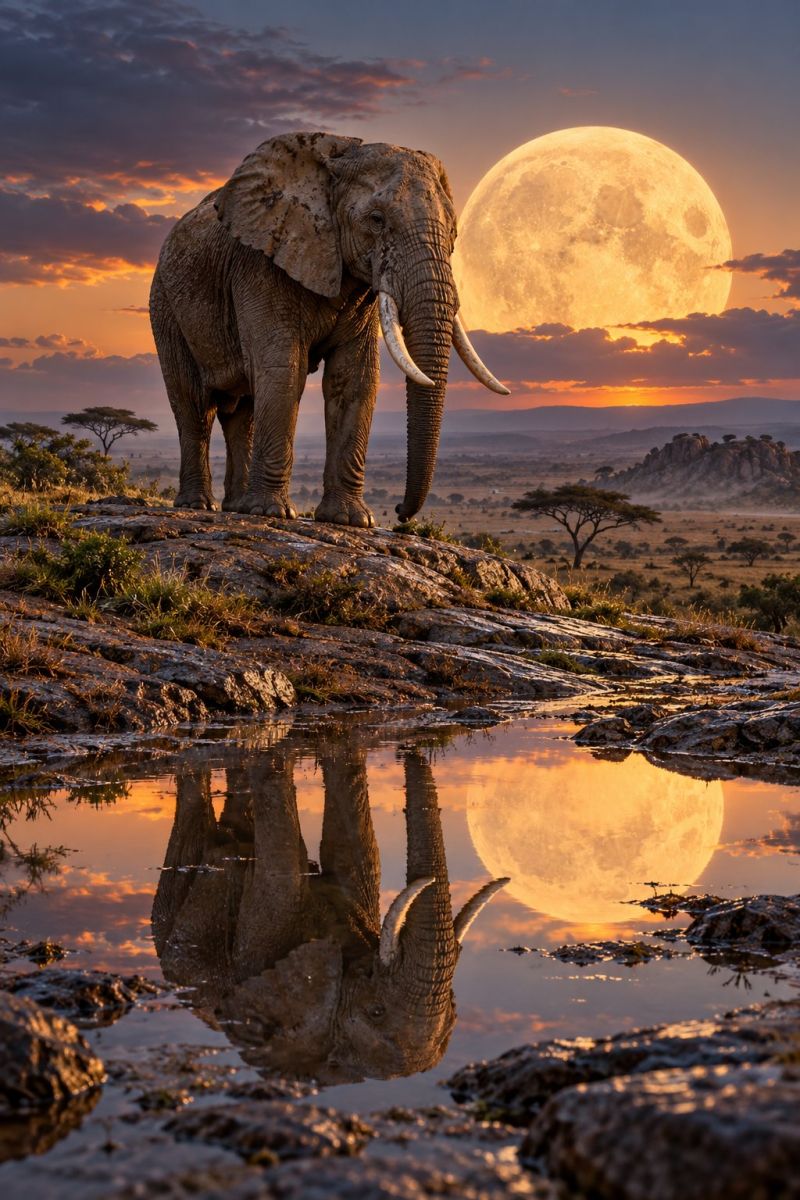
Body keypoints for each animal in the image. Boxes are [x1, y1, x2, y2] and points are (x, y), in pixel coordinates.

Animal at [149, 131, 508, 524]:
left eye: (454, 230)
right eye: (377, 219)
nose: (400, 513)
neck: (335, 163)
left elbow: (354, 379)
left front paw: (349, 520)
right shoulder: (261, 266)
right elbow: (283, 370)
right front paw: (272, 513)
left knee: (242, 413)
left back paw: (235, 506)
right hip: (165, 305)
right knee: (194, 403)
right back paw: (199, 505)